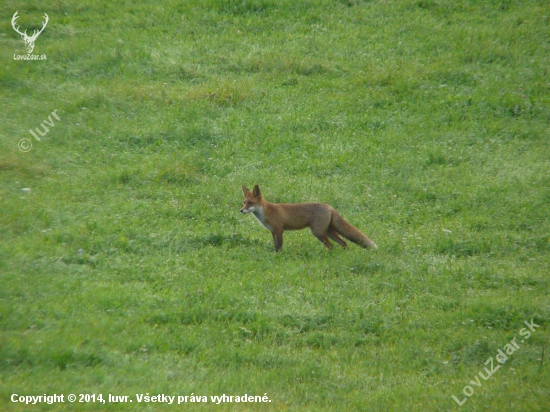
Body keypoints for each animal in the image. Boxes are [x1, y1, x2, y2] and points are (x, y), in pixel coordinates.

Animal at [239, 186, 378, 251]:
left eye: (250, 203)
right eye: (244, 202)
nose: (241, 210)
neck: (266, 212)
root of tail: (329, 206)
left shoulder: (279, 230)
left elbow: (279, 248)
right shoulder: (273, 232)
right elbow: (275, 247)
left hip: (318, 232)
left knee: (331, 245)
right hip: (328, 231)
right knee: (344, 243)